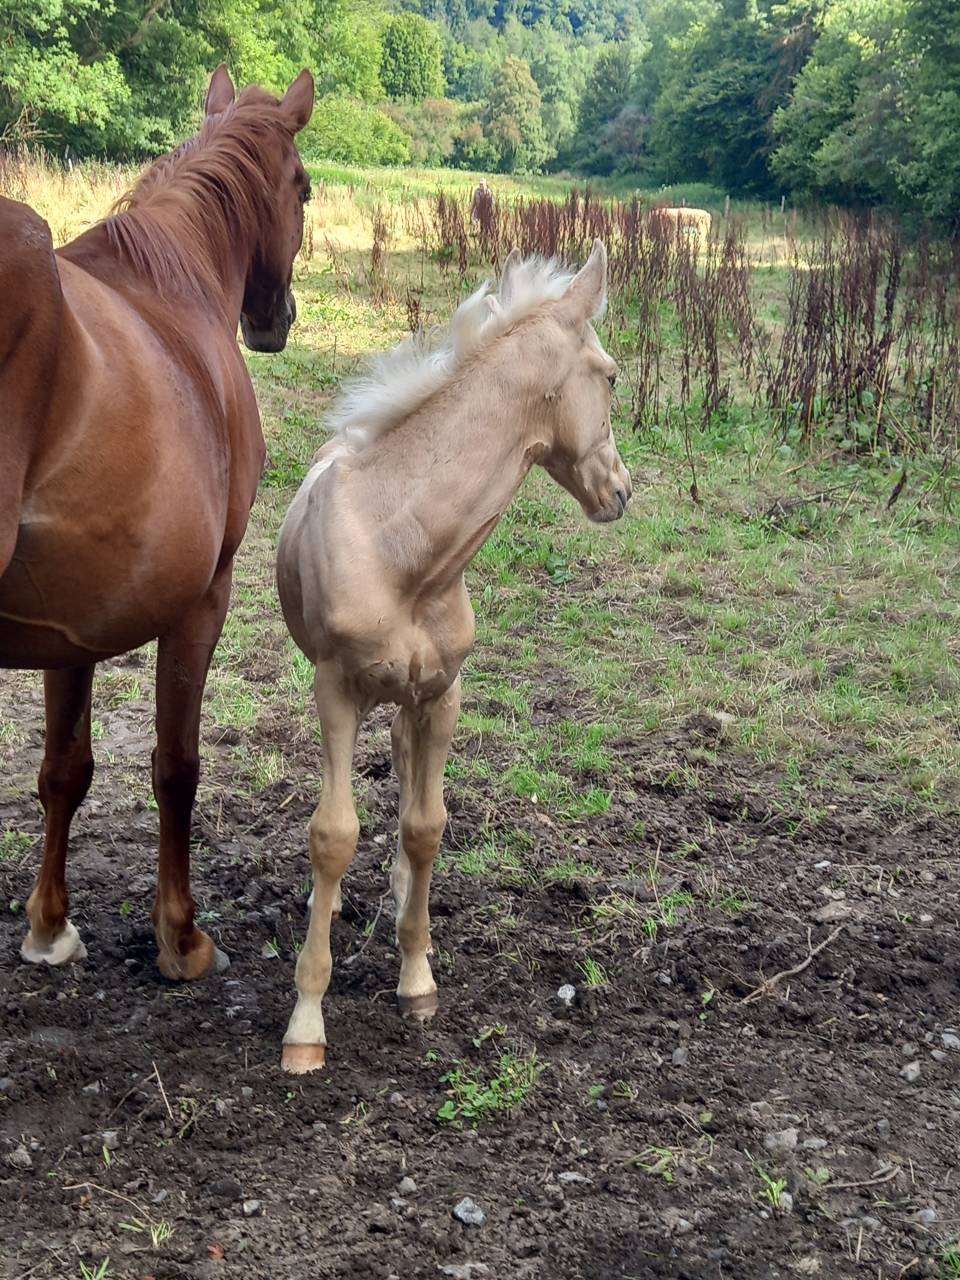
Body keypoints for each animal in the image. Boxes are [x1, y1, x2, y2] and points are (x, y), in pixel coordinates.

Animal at [0, 64, 314, 982]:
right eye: (304, 189)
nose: (275, 320)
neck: (173, 292)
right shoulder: (204, 597)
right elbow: (177, 765)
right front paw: (180, 936)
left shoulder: (67, 626)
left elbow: (63, 769)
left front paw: (49, 925)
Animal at [275, 240, 632, 1072]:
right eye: (610, 376)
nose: (621, 490)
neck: (403, 551)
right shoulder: (335, 691)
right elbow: (332, 835)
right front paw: (306, 1025)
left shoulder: (443, 693)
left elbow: (427, 825)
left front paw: (417, 978)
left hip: (411, 697)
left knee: (409, 783)